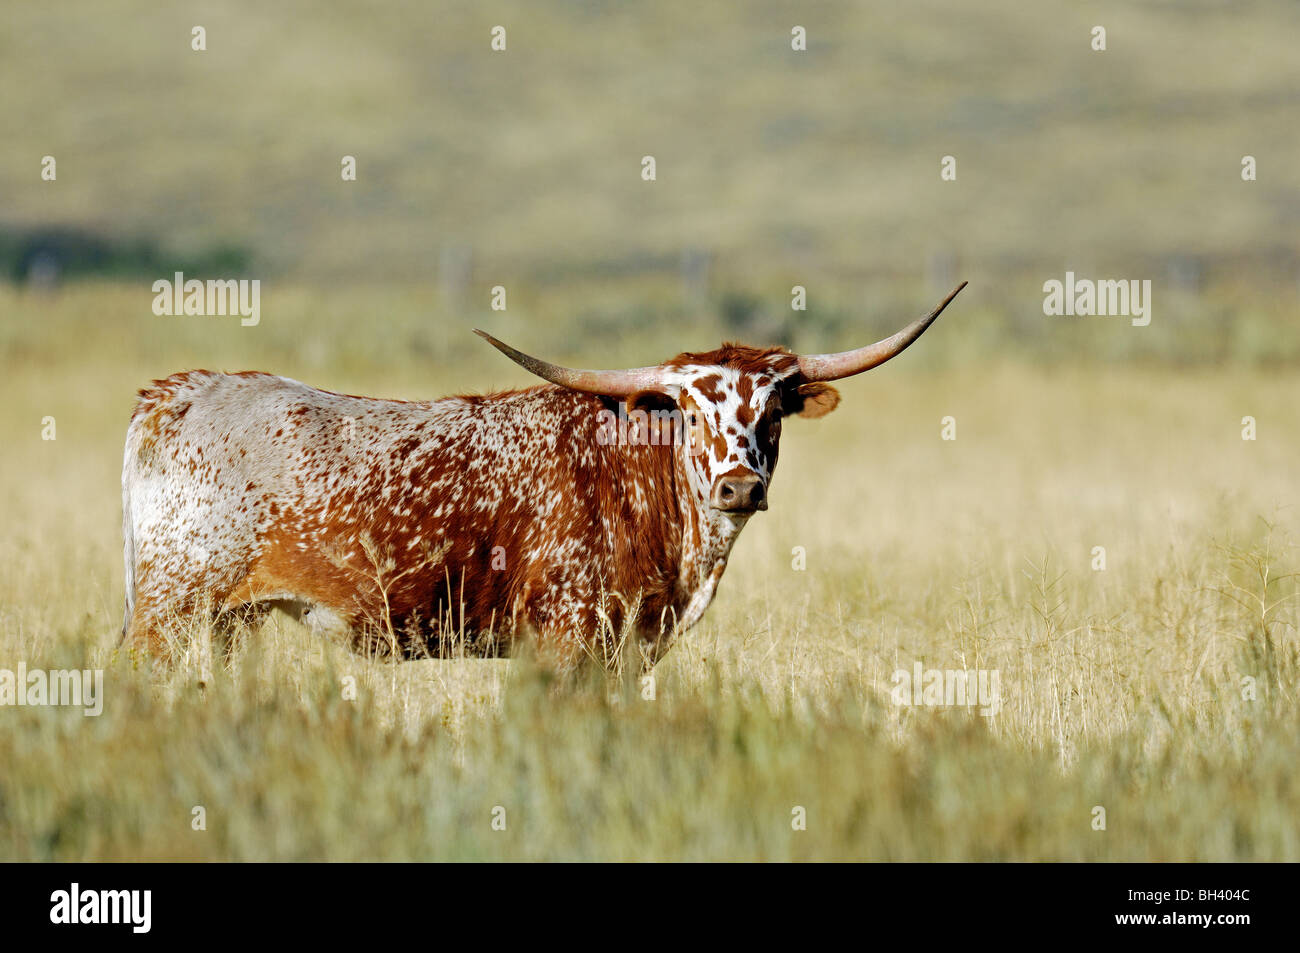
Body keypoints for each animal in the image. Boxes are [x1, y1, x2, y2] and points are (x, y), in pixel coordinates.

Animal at [124, 280, 967, 670]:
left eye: (775, 410)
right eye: (688, 411)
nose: (738, 487)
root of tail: (176, 391)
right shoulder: (569, 639)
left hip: (227, 623)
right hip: (168, 613)